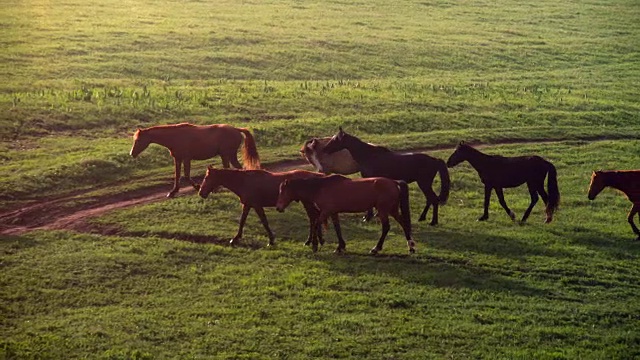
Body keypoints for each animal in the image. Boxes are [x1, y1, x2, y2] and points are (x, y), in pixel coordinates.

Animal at [130, 123, 260, 197]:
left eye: (138, 140)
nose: (132, 154)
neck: (174, 137)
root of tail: (236, 129)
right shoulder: (178, 159)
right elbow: (177, 175)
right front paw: (173, 192)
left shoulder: (186, 159)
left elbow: (186, 175)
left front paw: (197, 187)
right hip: (229, 155)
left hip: (226, 155)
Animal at [196, 167, 336, 249]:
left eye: (206, 177)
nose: (201, 193)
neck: (244, 181)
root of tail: (317, 176)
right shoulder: (247, 205)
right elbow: (242, 221)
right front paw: (235, 238)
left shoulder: (257, 206)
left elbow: (264, 222)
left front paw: (271, 240)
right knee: (314, 217)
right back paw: (315, 241)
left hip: (307, 202)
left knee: (314, 218)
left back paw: (313, 241)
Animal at [276, 175, 416, 255]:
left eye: (283, 191)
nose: (278, 207)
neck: (320, 187)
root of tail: (394, 182)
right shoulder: (333, 213)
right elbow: (337, 228)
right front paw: (340, 247)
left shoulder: (325, 212)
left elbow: (316, 225)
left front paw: (315, 245)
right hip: (392, 209)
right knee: (403, 223)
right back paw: (411, 246)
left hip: (383, 210)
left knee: (386, 227)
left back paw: (376, 248)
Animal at [320, 126, 450, 225]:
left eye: (335, 139)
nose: (324, 149)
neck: (369, 155)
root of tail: (435, 160)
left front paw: (368, 217)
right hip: (424, 184)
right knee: (430, 199)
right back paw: (422, 218)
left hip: (424, 183)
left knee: (433, 200)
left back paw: (433, 221)